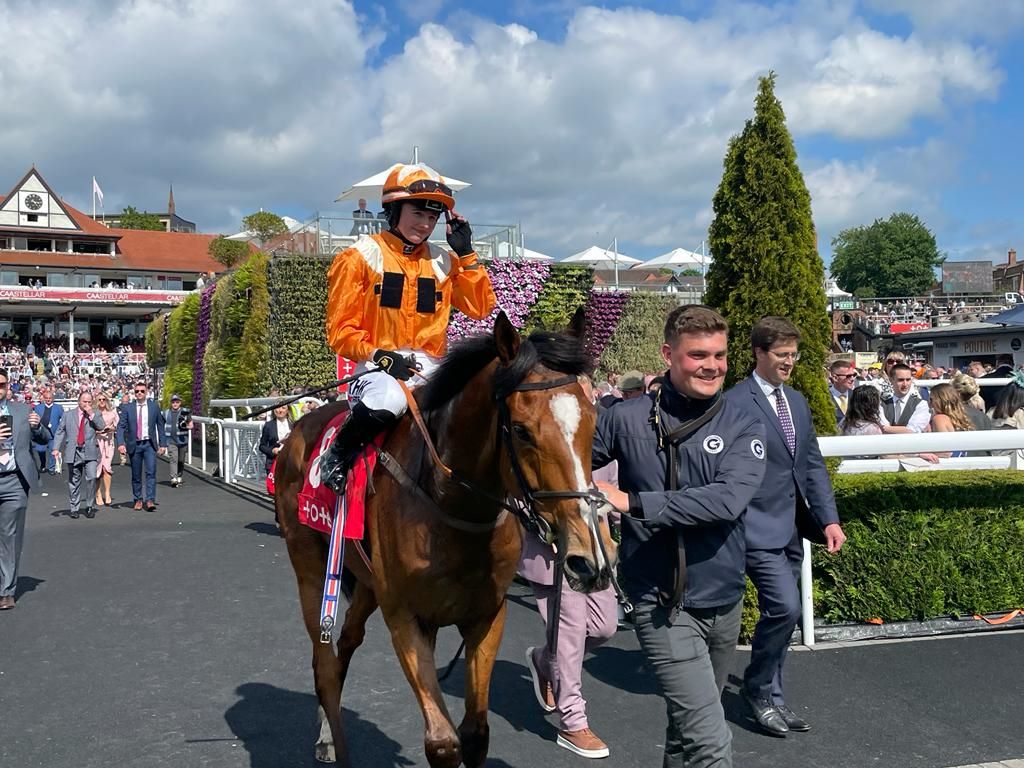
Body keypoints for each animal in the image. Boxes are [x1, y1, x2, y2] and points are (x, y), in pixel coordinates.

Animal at [272, 313, 618, 768]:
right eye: (521, 431)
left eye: (593, 422)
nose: (588, 558)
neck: (450, 506)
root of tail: (297, 430)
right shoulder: (405, 615)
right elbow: (443, 741)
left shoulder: (486, 615)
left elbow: (475, 734)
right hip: (311, 567)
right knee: (325, 663)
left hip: (367, 582)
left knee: (345, 643)